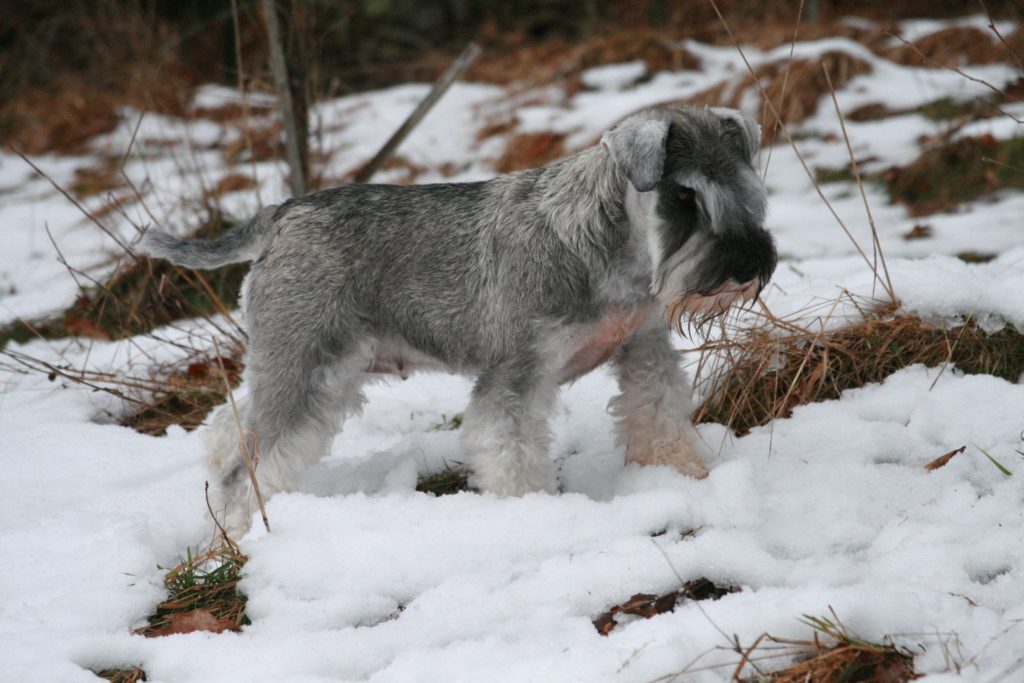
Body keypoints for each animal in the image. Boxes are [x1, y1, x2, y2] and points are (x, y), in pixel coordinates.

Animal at [140, 105, 770, 532]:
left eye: (747, 188)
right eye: (684, 196)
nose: (747, 265)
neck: (605, 245)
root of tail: (281, 213)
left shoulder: (644, 350)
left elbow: (658, 417)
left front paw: (684, 478)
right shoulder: (515, 376)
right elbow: (512, 455)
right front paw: (529, 516)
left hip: (299, 365)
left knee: (228, 429)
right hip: (305, 365)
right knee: (243, 468)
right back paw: (239, 537)